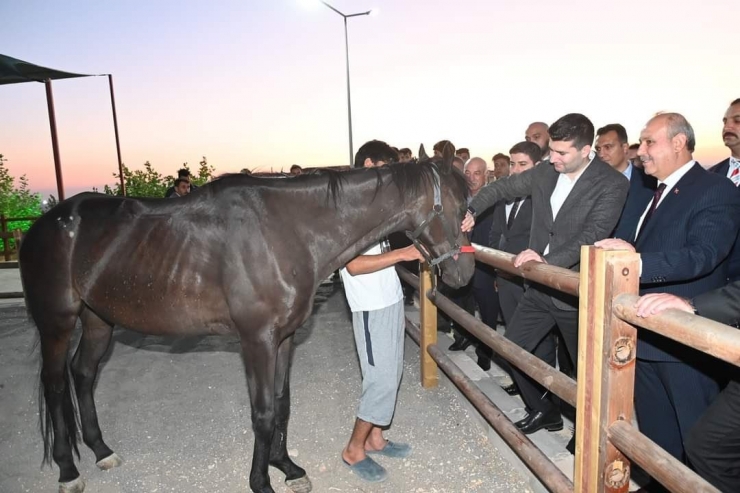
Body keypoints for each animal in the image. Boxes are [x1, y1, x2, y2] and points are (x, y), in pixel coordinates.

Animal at [20, 158, 474, 492]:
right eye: (452, 208)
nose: (465, 273)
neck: (288, 231)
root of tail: (41, 225)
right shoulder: (256, 341)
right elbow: (263, 412)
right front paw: (261, 481)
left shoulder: (285, 339)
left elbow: (283, 404)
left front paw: (287, 467)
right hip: (58, 323)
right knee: (56, 385)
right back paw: (67, 470)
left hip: (98, 319)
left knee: (83, 374)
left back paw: (101, 450)